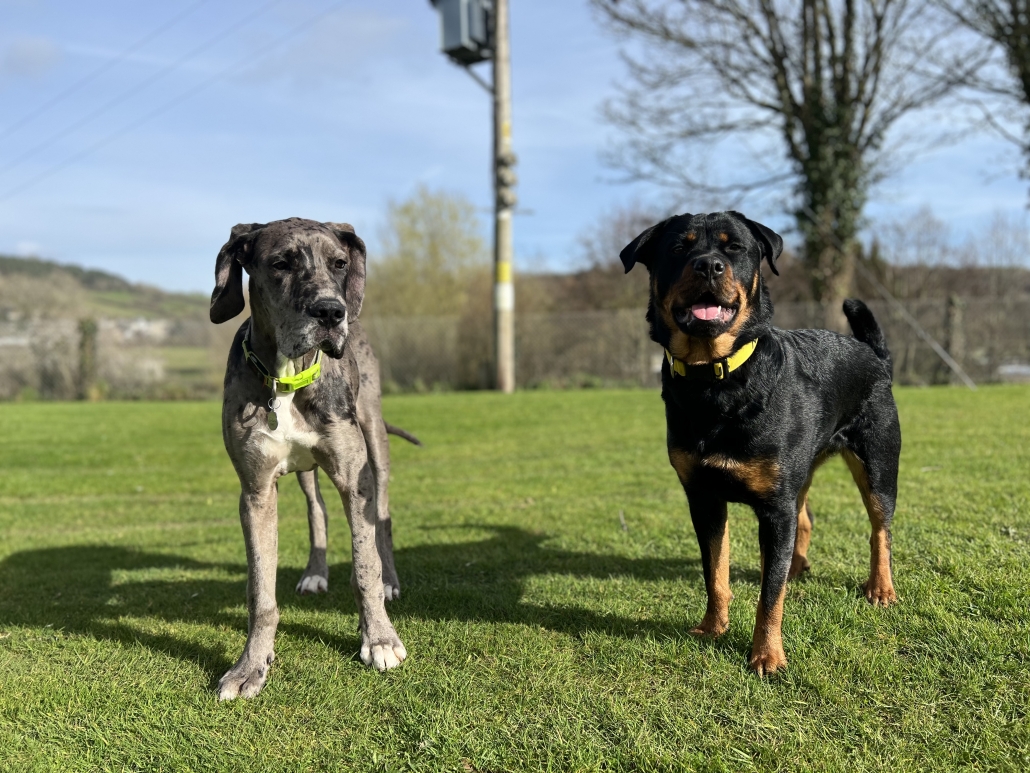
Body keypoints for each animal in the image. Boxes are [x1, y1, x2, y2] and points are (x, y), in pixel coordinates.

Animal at [209, 217, 417, 699]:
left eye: (339, 263)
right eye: (280, 264)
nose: (330, 312)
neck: (287, 379)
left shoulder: (354, 477)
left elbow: (364, 566)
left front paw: (380, 640)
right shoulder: (255, 492)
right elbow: (261, 593)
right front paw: (250, 666)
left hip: (374, 439)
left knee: (383, 517)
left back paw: (392, 581)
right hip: (305, 472)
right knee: (316, 509)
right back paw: (316, 572)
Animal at [621, 211, 901, 676]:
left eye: (734, 247)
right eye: (679, 248)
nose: (708, 266)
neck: (715, 379)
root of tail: (874, 353)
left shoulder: (773, 508)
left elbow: (769, 596)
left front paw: (767, 655)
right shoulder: (704, 499)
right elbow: (715, 571)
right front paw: (712, 627)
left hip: (878, 465)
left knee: (880, 529)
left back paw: (880, 587)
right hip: (800, 473)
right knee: (805, 519)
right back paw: (796, 567)